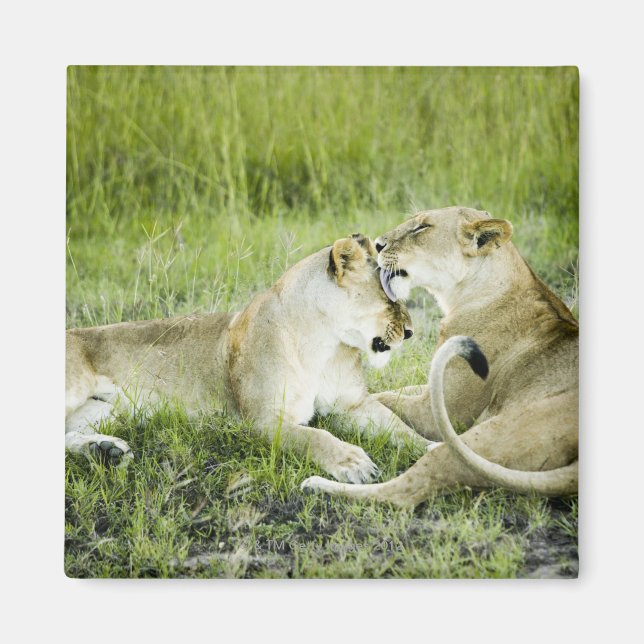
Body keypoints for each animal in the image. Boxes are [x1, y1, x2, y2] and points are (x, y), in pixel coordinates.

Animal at [66, 233, 429, 483]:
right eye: (390, 299)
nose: (411, 332)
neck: (325, 345)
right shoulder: (263, 420)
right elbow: (314, 436)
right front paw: (353, 462)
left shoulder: (352, 405)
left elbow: (399, 428)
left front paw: (431, 449)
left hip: (105, 410)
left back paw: (106, 452)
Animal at [301, 207, 578, 505]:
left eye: (422, 227)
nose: (377, 244)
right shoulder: (431, 390)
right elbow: (392, 392)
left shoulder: (438, 413)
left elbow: (385, 400)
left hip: (482, 438)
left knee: (404, 493)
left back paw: (317, 485)